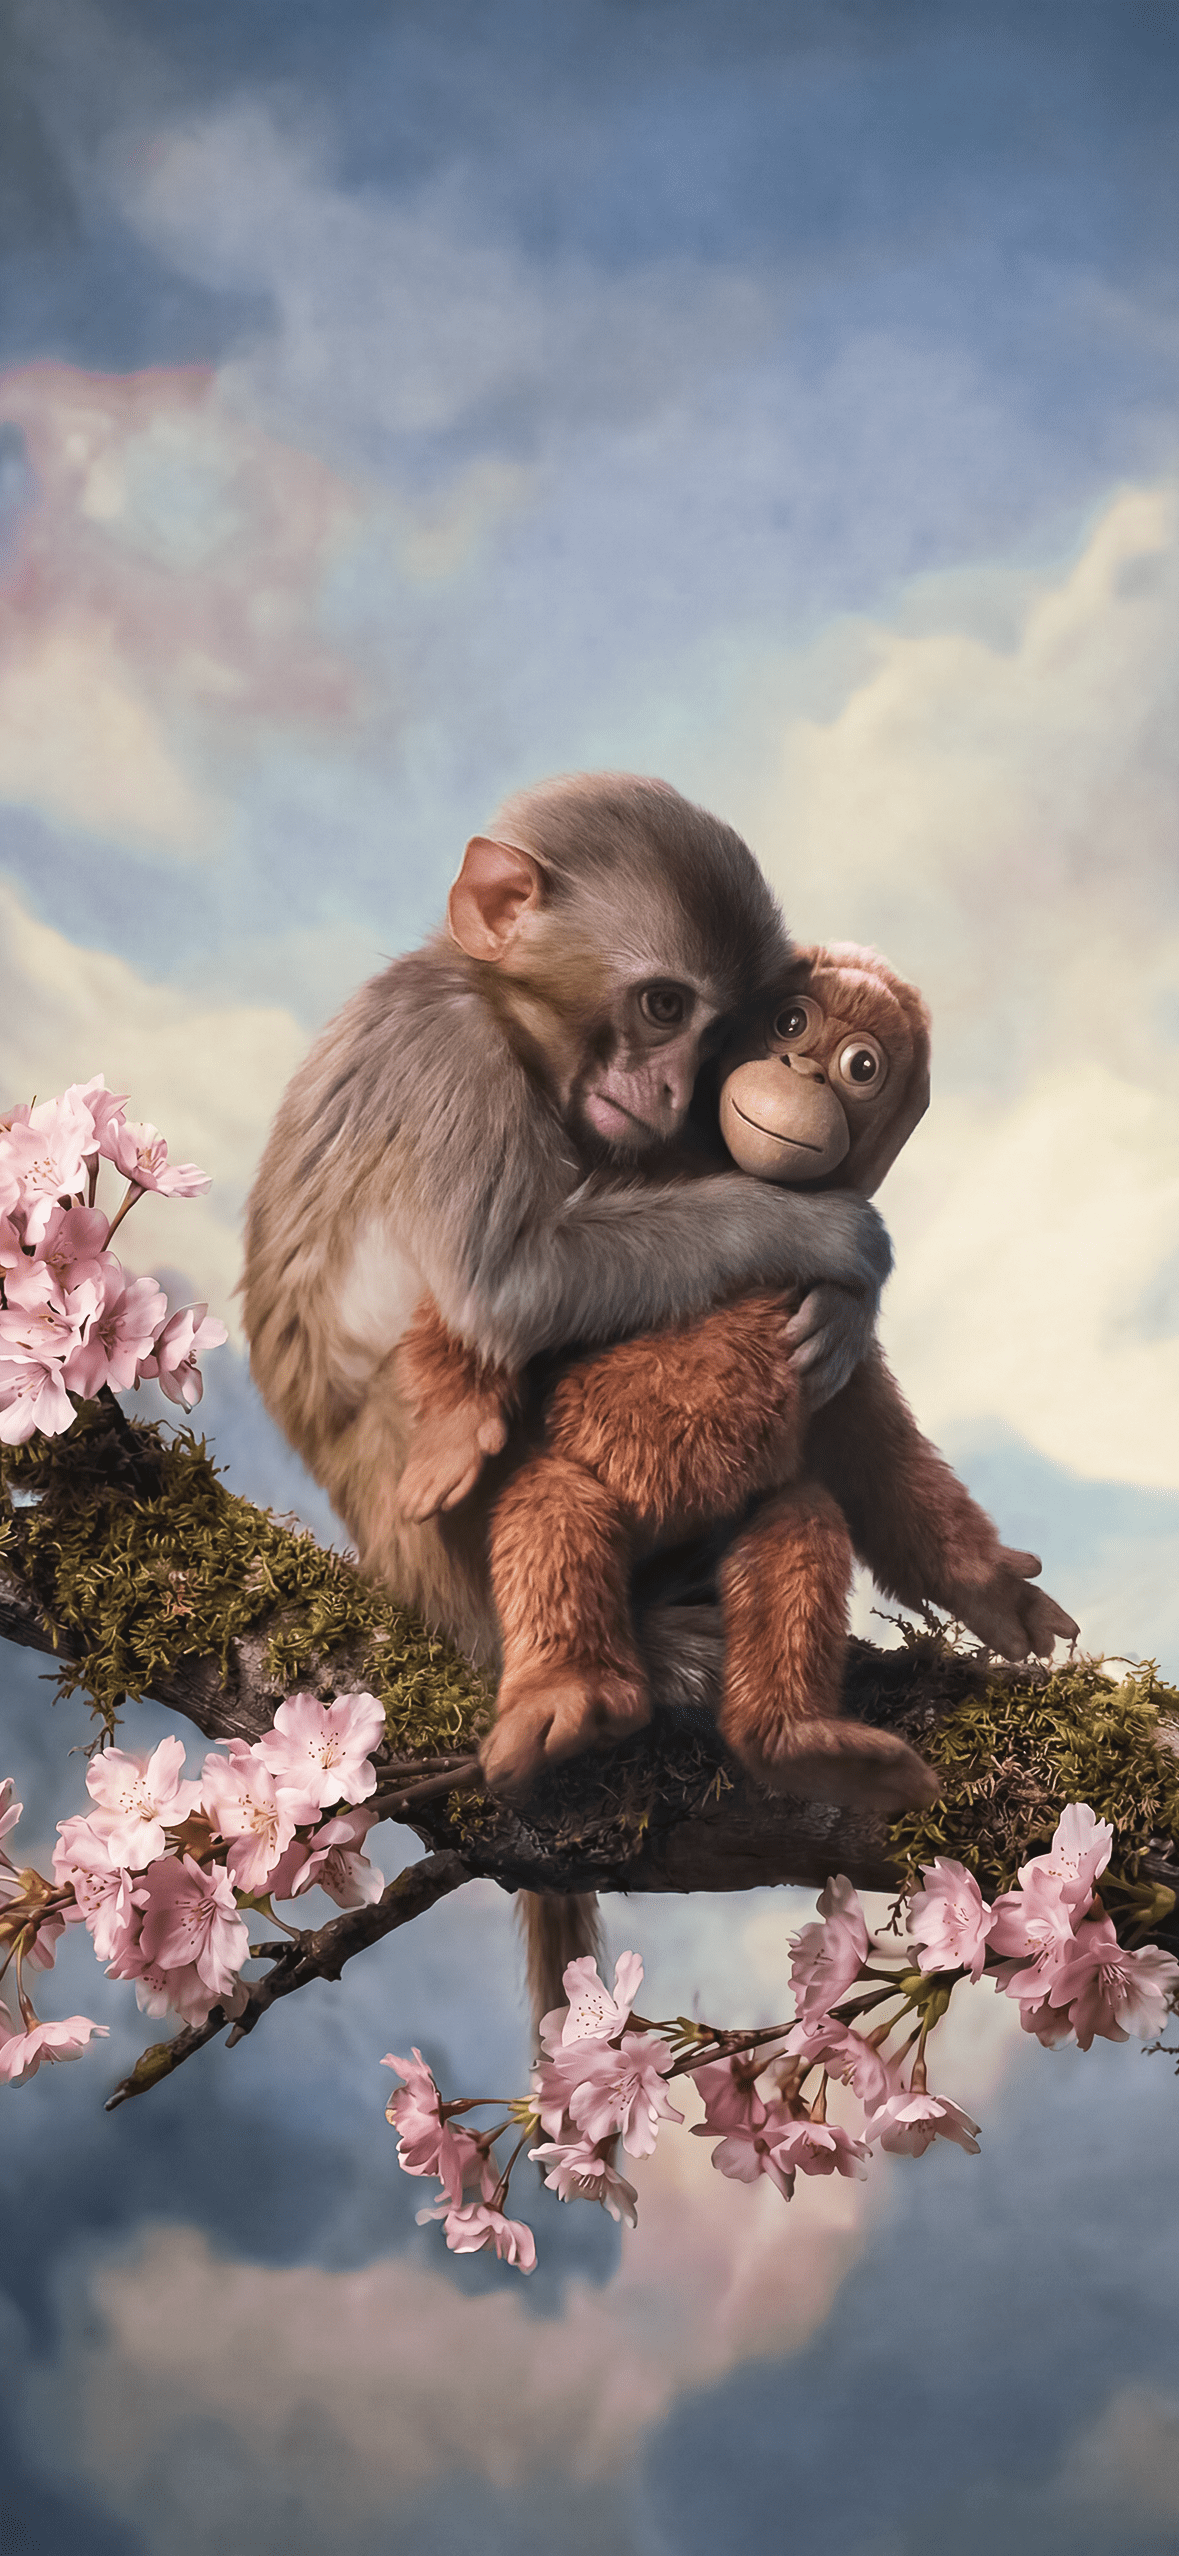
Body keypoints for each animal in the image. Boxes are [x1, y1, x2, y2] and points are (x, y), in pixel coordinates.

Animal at [394, 943, 1077, 1813]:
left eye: (861, 1067)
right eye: (790, 1022)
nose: (803, 1069)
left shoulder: (839, 1365)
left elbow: (884, 1475)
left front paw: (996, 1594)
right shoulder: (611, 1168)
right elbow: (498, 1283)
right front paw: (451, 1435)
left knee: (798, 1518)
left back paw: (799, 1743)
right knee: (553, 1503)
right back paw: (569, 1696)